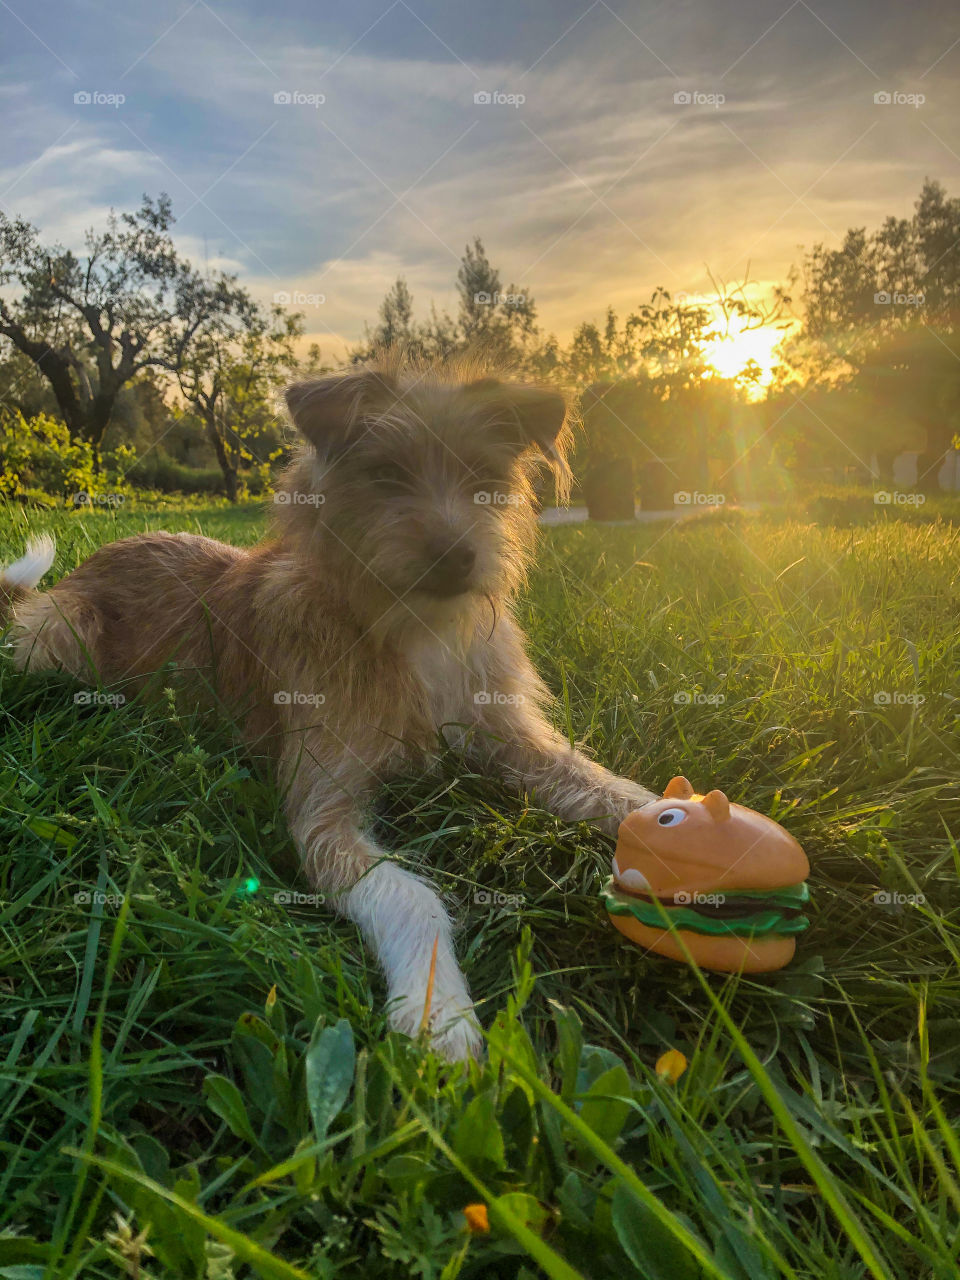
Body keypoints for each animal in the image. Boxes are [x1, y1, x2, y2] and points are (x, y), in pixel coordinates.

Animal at [0, 355, 660, 1054]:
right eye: (387, 473)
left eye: (483, 478)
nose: (458, 557)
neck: (405, 628)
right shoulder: (323, 809)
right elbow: (412, 896)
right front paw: (438, 1015)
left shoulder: (512, 737)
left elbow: (613, 789)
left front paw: (685, 828)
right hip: (58, 632)